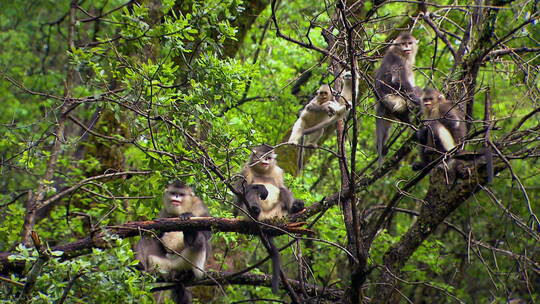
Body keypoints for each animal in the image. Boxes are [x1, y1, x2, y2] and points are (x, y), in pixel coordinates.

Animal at [376, 32, 422, 166]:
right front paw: (418, 101)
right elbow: (397, 81)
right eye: (403, 43)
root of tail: (381, 103)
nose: (407, 47)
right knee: (415, 90)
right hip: (395, 101)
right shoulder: (399, 62)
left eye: (409, 43)